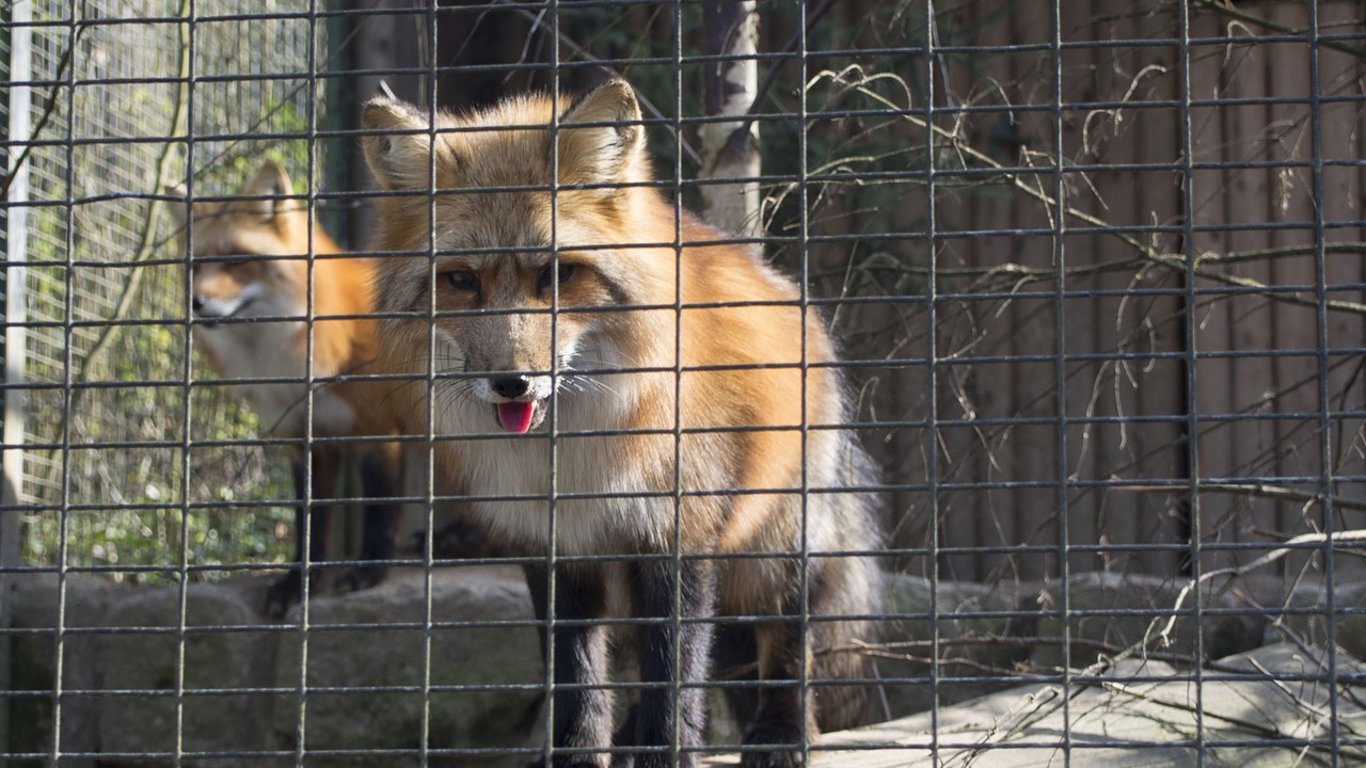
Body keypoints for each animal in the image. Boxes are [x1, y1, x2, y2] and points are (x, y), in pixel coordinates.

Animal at [169, 160, 405, 616]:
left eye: (236, 261)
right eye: (195, 267)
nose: (195, 302)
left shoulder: (377, 430)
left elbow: (380, 514)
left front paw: (369, 573)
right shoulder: (304, 438)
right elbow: (308, 525)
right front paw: (298, 584)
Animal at [361, 80, 883, 768]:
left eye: (557, 274)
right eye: (462, 280)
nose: (512, 382)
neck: (576, 459)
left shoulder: (673, 535)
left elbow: (676, 674)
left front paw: (667, 753)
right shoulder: (554, 546)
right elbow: (577, 679)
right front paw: (580, 755)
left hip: (778, 550)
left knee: (785, 645)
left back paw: (782, 733)